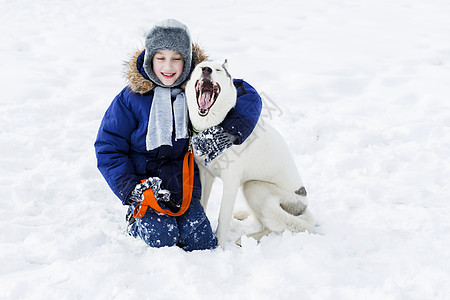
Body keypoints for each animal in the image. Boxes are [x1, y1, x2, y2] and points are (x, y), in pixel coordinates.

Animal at [185, 61, 314, 246]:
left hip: (253, 187)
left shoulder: (231, 182)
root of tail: (303, 206)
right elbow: (203, 204)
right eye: (200, 67)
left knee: (271, 226)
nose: (206, 70)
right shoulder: (205, 174)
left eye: (218, 69)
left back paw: (245, 239)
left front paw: (219, 246)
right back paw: (242, 214)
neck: (213, 128)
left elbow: (223, 218)